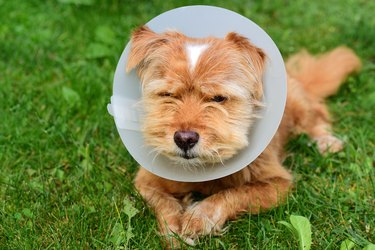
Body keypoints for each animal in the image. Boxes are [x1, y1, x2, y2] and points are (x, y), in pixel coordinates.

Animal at [125, 25, 362, 246]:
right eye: (168, 95)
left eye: (218, 98)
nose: (184, 139)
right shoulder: (145, 182)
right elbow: (164, 203)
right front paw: (173, 232)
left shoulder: (278, 184)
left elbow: (234, 193)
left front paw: (199, 217)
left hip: (298, 104)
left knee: (315, 116)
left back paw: (326, 142)